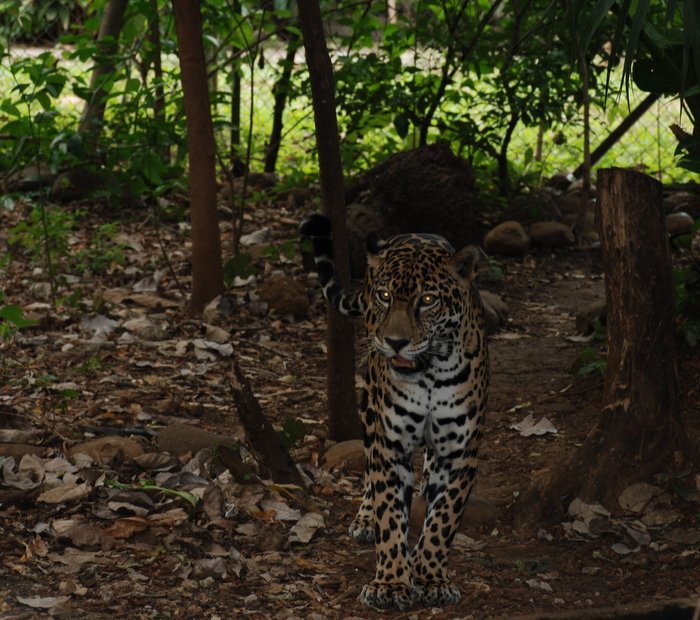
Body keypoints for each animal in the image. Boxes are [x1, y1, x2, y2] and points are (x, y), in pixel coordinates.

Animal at [300, 213, 489, 610]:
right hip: (370, 407)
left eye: (428, 300)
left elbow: (443, 520)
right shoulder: (391, 443)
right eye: (385, 297)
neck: (429, 371)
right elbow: (389, 512)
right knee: (369, 468)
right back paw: (365, 519)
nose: (395, 342)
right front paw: (390, 582)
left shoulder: (460, 453)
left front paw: (430, 576)